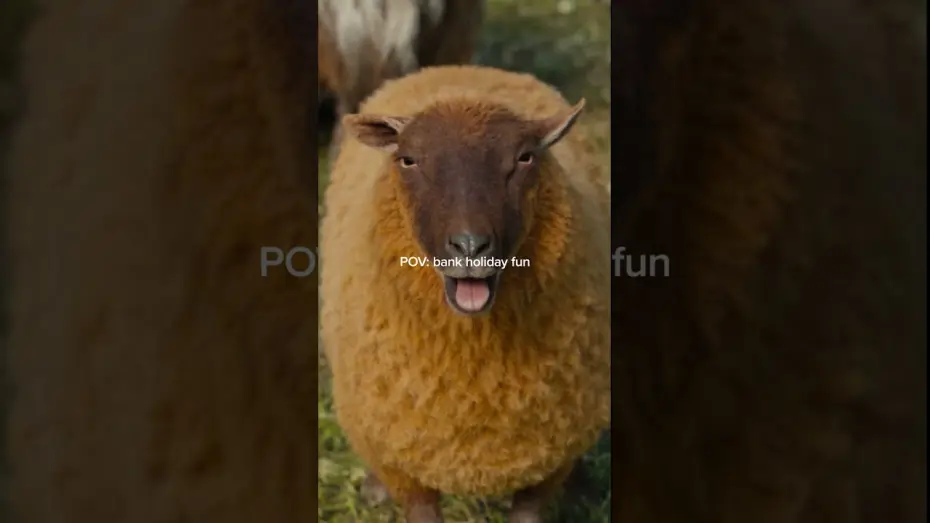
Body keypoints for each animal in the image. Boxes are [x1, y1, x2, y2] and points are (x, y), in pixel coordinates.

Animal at [320, 64, 611, 523]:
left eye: (525, 158)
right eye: (408, 159)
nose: (470, 247)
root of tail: (460, 68)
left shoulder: (551, 454)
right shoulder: (403, 454)